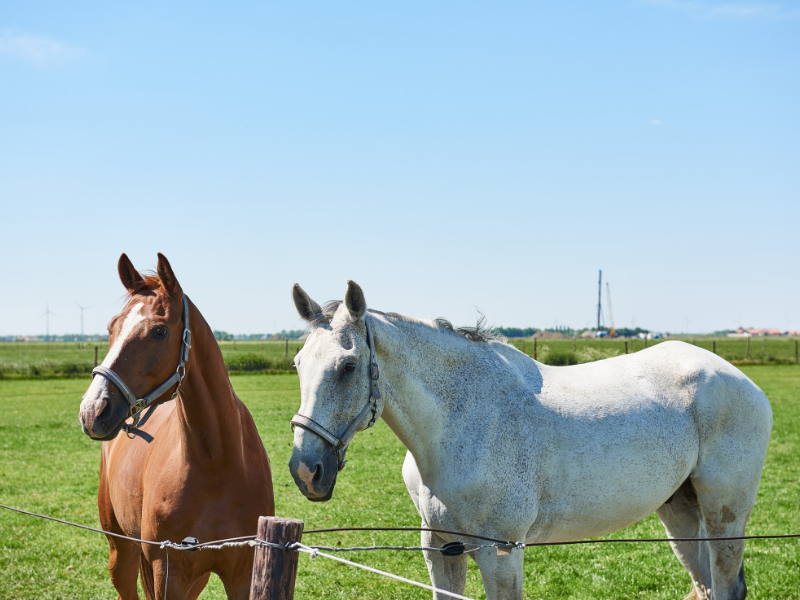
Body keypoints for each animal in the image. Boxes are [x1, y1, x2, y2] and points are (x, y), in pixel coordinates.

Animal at [79, 254, 274, 600]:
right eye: (112, 327)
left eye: (159, 331)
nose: (92, 410)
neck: (217, 464)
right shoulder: (168, 573)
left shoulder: (243, 572)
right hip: (122, 551)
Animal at [287, 280, 772, 600]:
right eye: (297, 363)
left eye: (348, 366)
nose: (306, 470)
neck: (460, 421)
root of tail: (739, 378)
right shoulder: (440, 547)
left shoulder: (500, 552)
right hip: (679, 512)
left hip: (725, 516)